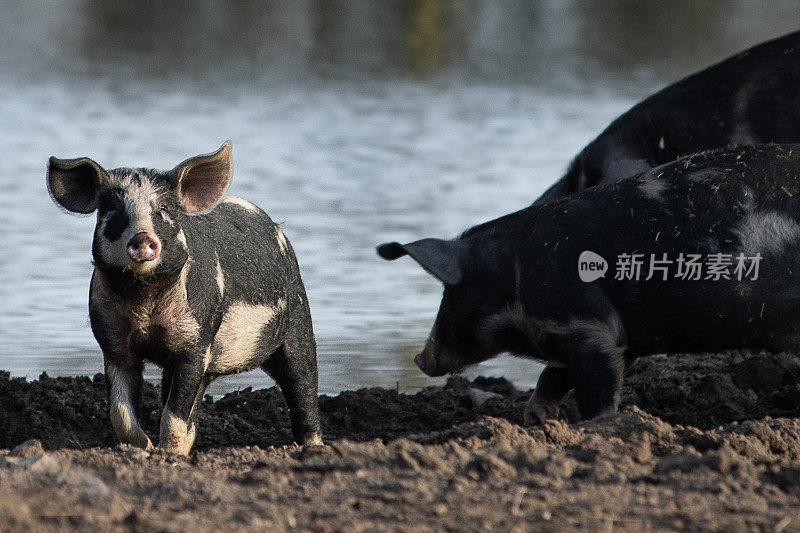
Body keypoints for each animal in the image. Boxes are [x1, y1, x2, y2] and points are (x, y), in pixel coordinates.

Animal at [47, 142, 320, 454]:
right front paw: (147, 447)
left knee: (304, 388)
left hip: (299, 320)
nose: (141, 237)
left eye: (163, 208)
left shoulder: (196, 342)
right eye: (113, 209)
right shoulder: (113, 343)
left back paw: (315, 445)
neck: (144, 300)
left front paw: (168, 453)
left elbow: (173, 416)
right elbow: (121, 414)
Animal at [378, 144, 800, 424]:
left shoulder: (588, 326)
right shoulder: (608, 338)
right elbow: (553, 375)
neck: (515, 276)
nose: (420, 359)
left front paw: (595, 427)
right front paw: (537, 420)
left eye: (450, 293)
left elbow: (595, 385)